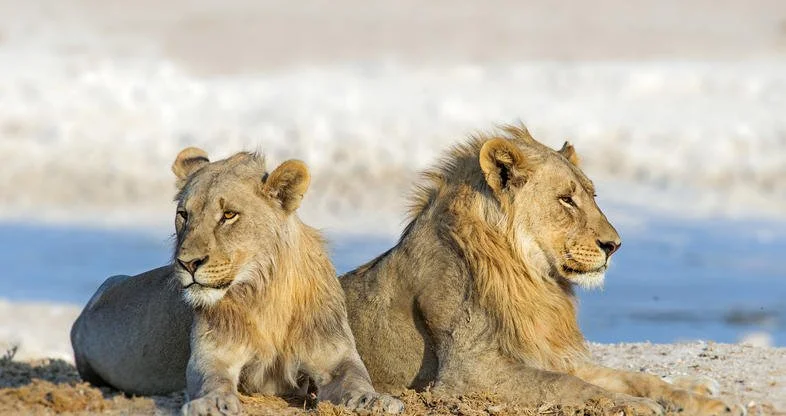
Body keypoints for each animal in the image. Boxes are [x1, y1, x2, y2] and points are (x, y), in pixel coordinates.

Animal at [70, 148, 403, 415]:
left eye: (229, 215)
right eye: (184, 215)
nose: (187, 263)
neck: (264, 292)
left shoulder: (332, 353)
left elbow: (355, 377)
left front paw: (375, 400)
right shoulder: (213, 353)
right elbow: (212, 378)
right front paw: (213, 403)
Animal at [340, 126, 743, 415]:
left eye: (593, 196)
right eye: (566, 199)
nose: (614, 245)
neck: (535, 279)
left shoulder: (551, 353)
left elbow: (631, 377)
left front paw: (709, 401)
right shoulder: (467, 373)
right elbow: (567, 385)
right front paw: (638, 407)